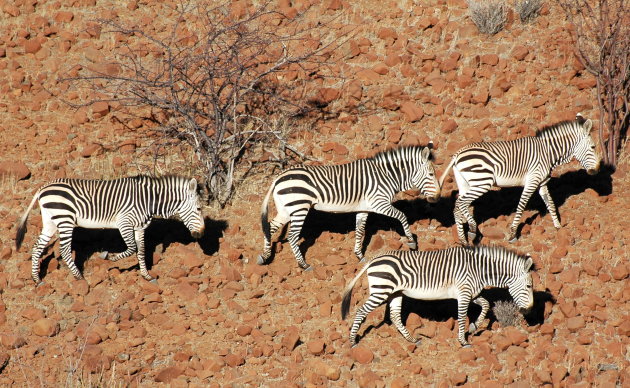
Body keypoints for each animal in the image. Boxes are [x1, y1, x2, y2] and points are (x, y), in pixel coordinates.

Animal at [15, 176, 205, 284]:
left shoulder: (140, 227)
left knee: (37, 247)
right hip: (65, 219)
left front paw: (146, 276)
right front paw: (108, 256)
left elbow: (141, 250)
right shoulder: (124, 223)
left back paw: (37, 279)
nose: (202, 233)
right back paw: (79, 277)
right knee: (64, 250)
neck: (148, 201)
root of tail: (43, 188)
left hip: (50, 221)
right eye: (199, 209)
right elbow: (132, 249)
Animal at [260, 145, 442, 270]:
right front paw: (411, 242)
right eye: (431, 174)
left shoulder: (364, 208)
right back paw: (303, 265)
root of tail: (278, 178)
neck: (387, 176)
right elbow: (402, 216)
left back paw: (265, 256)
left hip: (286, 209)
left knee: (270, 226)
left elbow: (360, 230)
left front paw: (359, 256)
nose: (438, 196)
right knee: (292, 236)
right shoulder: (379, 203)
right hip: (299, 208)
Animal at [344, 244, 536, 348]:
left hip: (395, 293)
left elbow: (486, 304)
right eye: (528, 286)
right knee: (361, 311)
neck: (478, 270)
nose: (530, 310)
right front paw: (463, 341)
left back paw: (412, 339)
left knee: (395, 316)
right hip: (381, 290)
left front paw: (474, 326)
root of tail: (374, 258)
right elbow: (461, 317)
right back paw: (352, 340)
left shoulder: (471, 293)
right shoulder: (464, 294)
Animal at [440, 113, 604, 244]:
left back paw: (463, 240)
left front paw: (558, 226)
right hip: (482, 182)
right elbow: (521, 205)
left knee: (457, 206)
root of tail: (458, 154)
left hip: (465, 184)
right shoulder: (532, 181)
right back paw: (473, 229)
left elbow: (550, 203)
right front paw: (513, 234)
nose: (596, 171)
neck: (548, 153)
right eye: (593, 147)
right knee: (461, 202)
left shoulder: (542, 183)